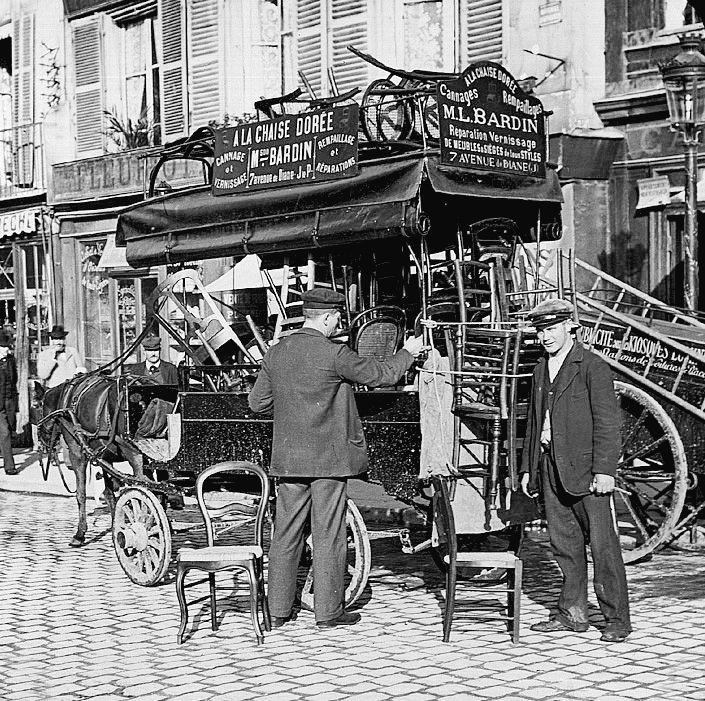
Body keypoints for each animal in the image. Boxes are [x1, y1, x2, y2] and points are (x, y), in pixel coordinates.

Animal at [35, 372, 148, 548]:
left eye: (38, 408)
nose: (41, 441)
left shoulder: (77, 454)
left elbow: (80, 494)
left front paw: (80, 534)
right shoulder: (103, 457)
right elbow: (109, 493)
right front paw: (116, 527)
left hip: (135, 455)